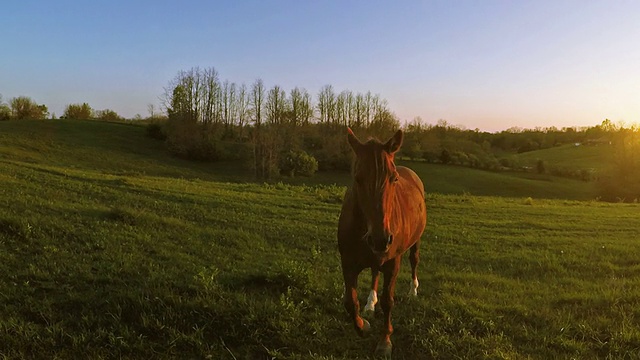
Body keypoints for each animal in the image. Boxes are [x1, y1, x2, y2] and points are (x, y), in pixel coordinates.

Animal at [338, 128, 428, 356]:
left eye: (393, 178)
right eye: (358, 179)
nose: (381, 239)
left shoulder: (392, 263)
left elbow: (388, 302)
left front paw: (385, 341)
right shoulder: (347, 263)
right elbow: (350, 302)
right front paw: (364, 326)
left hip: (415, 242)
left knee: (414, 261)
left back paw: (413, 290)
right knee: (374, 272)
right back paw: (371, 302)